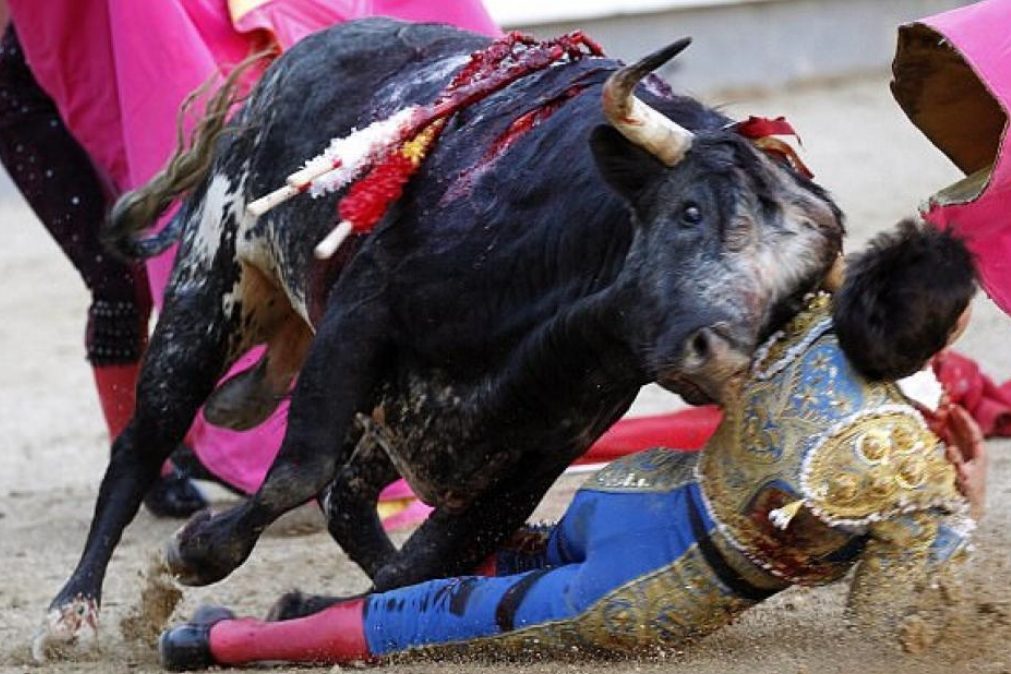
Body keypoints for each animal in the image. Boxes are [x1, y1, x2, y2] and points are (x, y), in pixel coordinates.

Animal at [37, 17, 845, 646]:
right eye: (689, 212)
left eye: (792, 296)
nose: (715, 358)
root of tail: (288, 64)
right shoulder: (362, 317)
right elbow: (298, 469)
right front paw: (196, 552)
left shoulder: (544, 446)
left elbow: (425, 558)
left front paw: (311, 608)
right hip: (209, 290)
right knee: (144, 444)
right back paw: (71, 614)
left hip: (382, 414)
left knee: (347, 501)